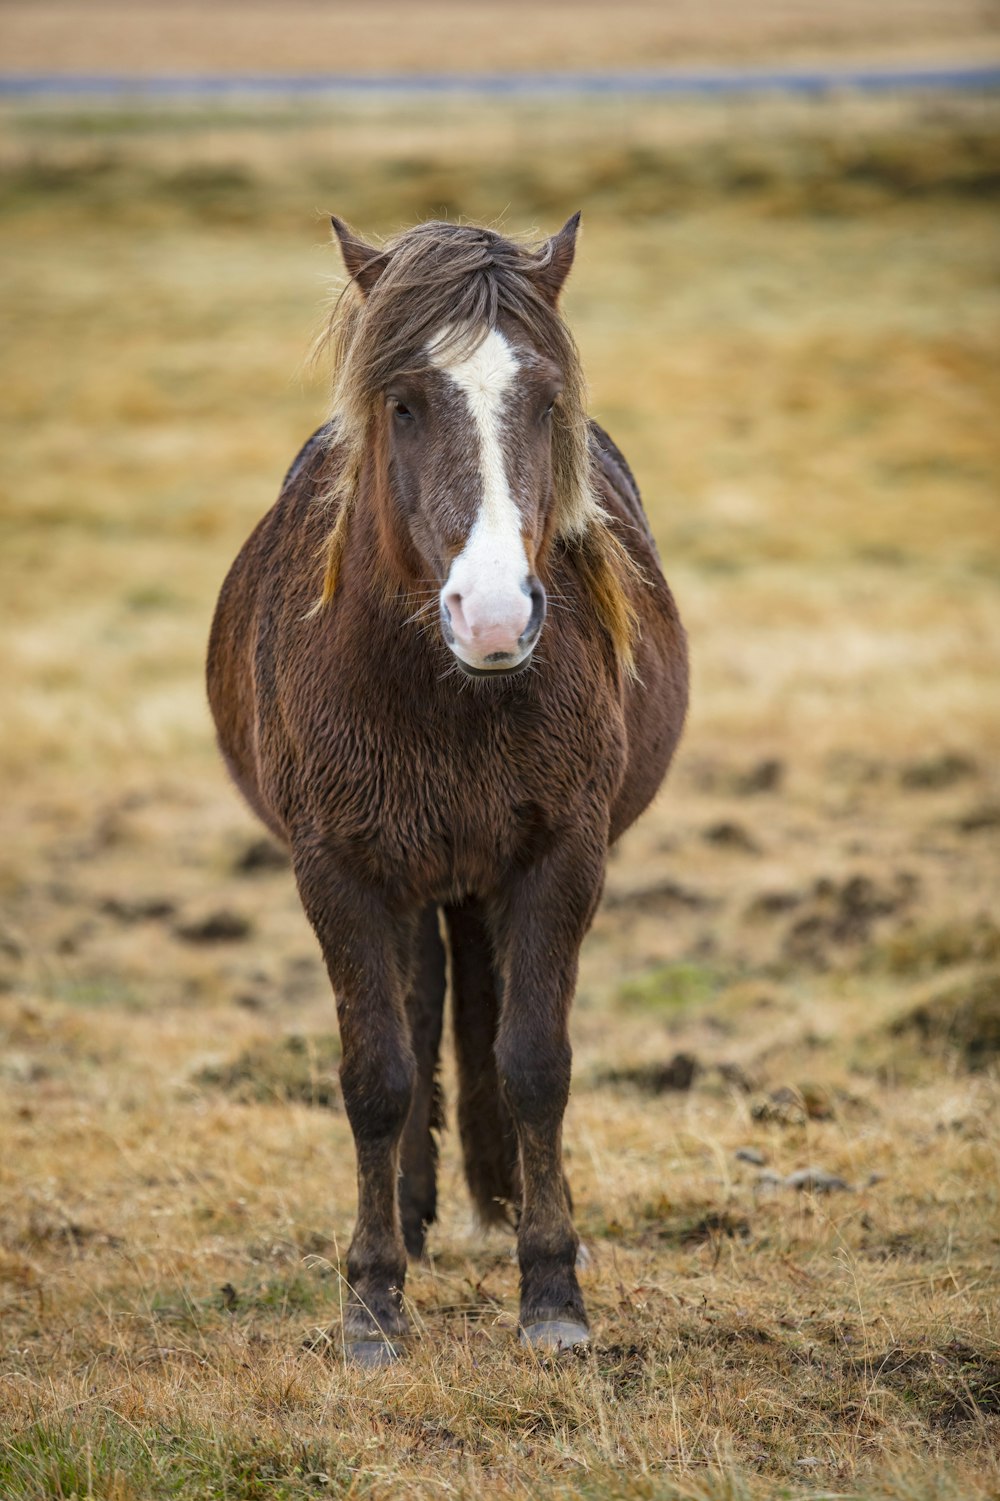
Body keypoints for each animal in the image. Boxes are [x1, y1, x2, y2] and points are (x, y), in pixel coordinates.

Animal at [202, 217, 684, 1368]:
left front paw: (551, 1290)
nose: (495, 614)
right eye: (404, 403)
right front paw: (373, 1301)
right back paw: (416, 1217)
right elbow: (375, 1073)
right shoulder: (338, 869)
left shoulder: (562, 857)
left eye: (548, 400)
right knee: (419, 1014)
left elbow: (535, 1059)